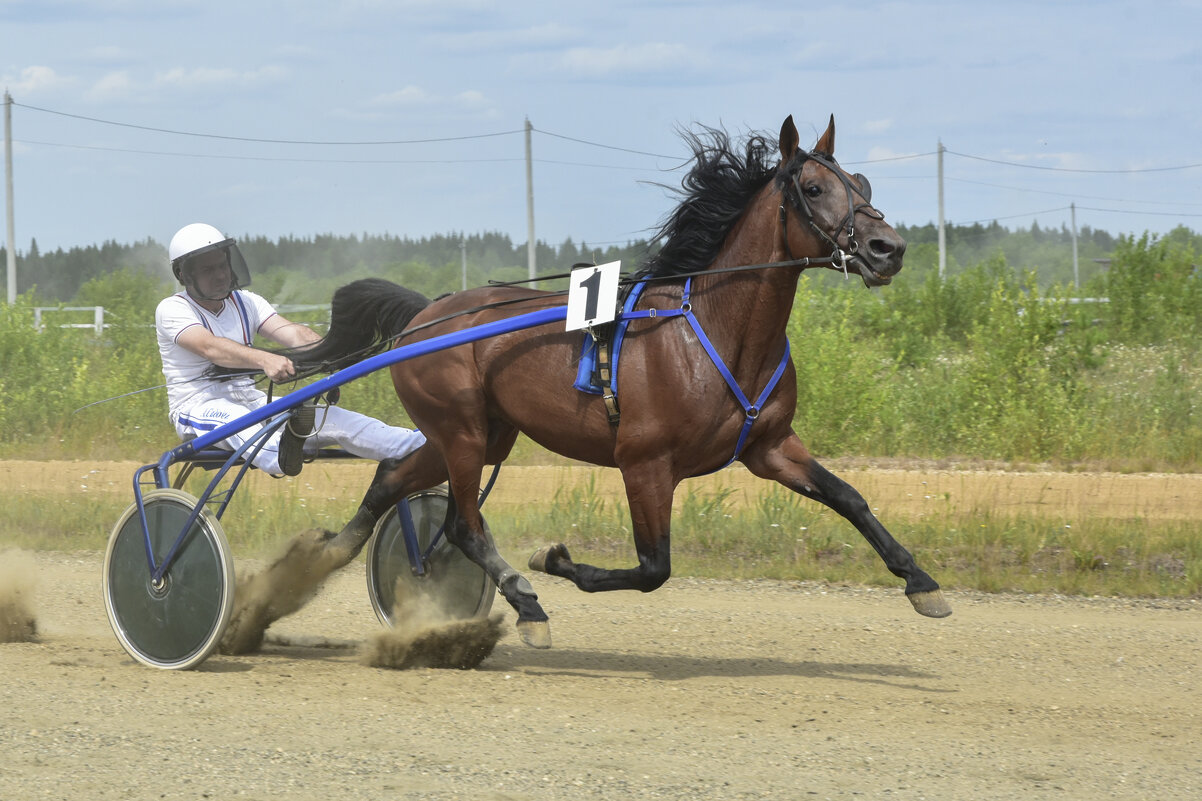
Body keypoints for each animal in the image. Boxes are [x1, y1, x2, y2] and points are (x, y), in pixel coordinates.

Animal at [300, 115, 947, 644]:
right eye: (814, 188)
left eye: (862, 184)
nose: (888, 249)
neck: (713, 331)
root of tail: (426, 313)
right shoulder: (645, 463)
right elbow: (654, 568)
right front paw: (553, 561)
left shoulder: (768, 446)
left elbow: (849, 497)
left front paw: (921, 581)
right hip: (460, 429)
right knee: (462, 524)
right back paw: (527, 605)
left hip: (483, 434)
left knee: (390, 480)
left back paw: (323, 561)